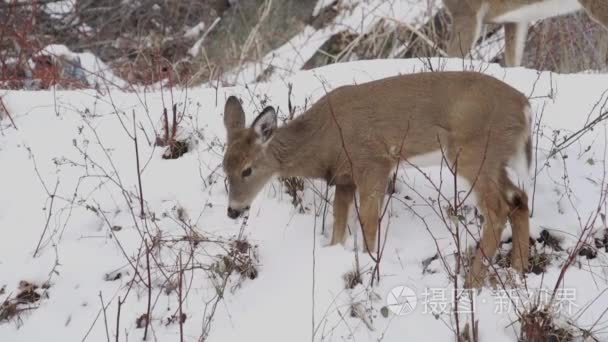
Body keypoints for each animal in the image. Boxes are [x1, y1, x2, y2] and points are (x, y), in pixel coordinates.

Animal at [222, 72, 532, 288]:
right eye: (224, 167)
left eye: (247, 170)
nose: (233, 210)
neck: (323, 140)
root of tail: (524, 107)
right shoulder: (345, 177)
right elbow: (338, 228)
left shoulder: (373, 163)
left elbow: (368, 224)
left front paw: (370, 266)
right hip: (494, 160)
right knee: (519, 198)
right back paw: (518, 271)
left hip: (472, 152)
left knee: (498, 209)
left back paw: (472, 282)